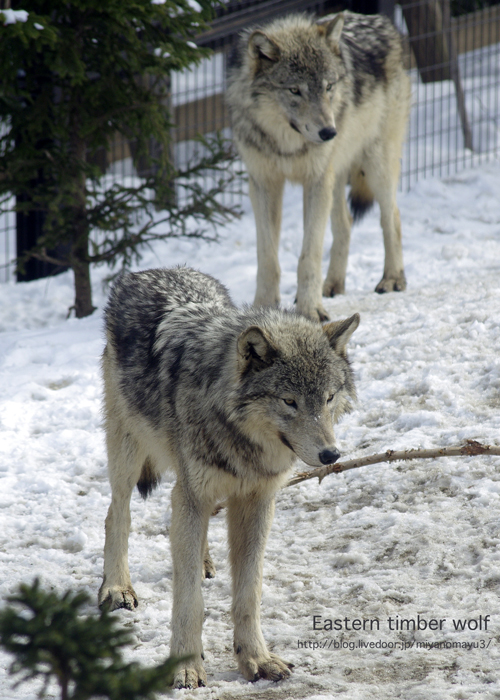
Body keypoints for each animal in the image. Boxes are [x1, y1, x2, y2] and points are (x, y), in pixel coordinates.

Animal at [97, 268, 360, 688]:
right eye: (289, 401)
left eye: (329, 398)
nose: (330, 455)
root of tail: (153, 271)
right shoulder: (193, 494)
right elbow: (189, 600)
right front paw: (186, 667)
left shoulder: (256, 501)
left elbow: (249, 592)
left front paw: (256, 659)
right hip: (128, 453)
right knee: (116, 513)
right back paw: (117, 587)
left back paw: (203, 561)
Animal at [227, 9, 410, 322]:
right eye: (294, 90)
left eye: (328, 87)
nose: (328, 132)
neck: (287, 146)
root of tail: (383, 21)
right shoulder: (263, 183)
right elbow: (267, 258)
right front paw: (264, 307)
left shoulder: (315, 180)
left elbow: (309, 254)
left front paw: (310, 310)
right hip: (336, 176)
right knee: (345, 225)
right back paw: (333, 284)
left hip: (375, 164)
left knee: (392, 216)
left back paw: (392, 278)